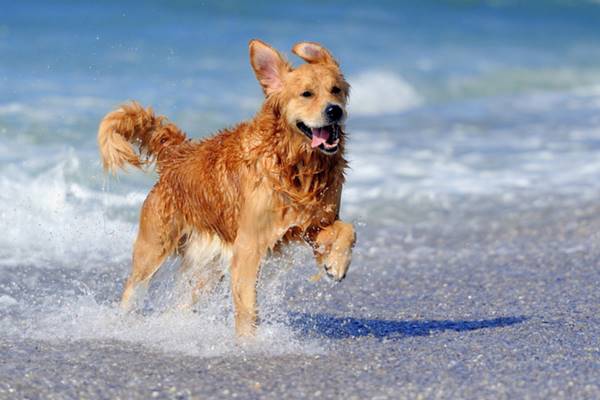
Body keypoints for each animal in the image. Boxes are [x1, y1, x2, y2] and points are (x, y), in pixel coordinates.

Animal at [98, 39, 356, 336]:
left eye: (336, 90)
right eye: (307, 94)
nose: (334, 110)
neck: (294, 164)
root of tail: (177, 155)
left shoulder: (310, 225)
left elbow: (348, 229)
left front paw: (336, 264)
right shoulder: (250, 244)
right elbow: (247, 305)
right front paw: (249, 341)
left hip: (207, 268)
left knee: (184, 302)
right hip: (153, 249)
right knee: (133, 289)